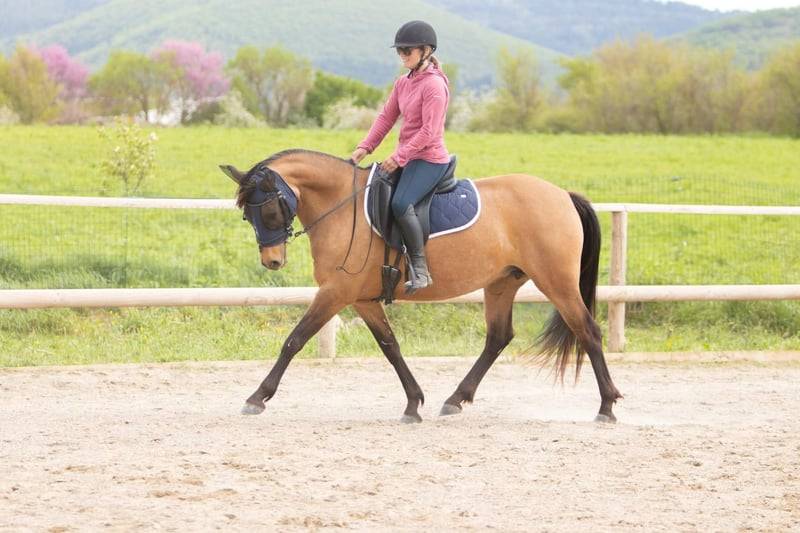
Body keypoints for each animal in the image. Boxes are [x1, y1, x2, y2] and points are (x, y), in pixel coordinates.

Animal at [220, 149, 622, 423]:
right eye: (247, 216)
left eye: (268, 210)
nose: (272, 262)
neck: (341, 206)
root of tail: (563, 195)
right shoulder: (362, 299)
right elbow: (391, 347)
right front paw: (414, 403)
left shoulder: (336, 293)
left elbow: (294, 340)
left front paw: (257, 397)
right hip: (501, 284)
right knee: (498, 338)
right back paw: (456, 399)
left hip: (557, 283)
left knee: (588, 330)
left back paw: (606, 406)